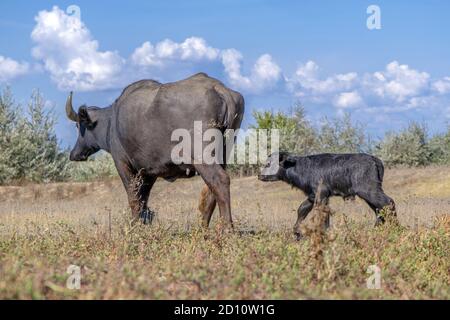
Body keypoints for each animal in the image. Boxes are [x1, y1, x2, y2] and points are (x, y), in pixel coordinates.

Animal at [65, 73, 244, 228]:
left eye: (78, 126)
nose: (74, 154)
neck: (112, 122)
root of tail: (218, 88)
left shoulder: (123, 164)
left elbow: (134, 198)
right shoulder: (148, 173)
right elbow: (143, 201)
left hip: (202, 157)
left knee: (220, 180)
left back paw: (226, 228)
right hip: (224, 153)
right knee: (210, 191)